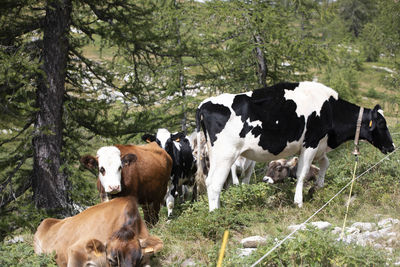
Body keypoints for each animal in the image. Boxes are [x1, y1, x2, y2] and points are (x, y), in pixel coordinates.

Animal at [195, 81, 396, 211]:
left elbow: (325, 164)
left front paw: (318, 186)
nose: (393, 147)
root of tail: (204, 104)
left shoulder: (319, 145)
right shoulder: (311, 143)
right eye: (382, 124)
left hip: (215, 156)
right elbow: (302, 173)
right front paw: (299, 201)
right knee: (215, 183)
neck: (330, 108)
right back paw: (216, 214)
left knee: (210, 181)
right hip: (225, 155)